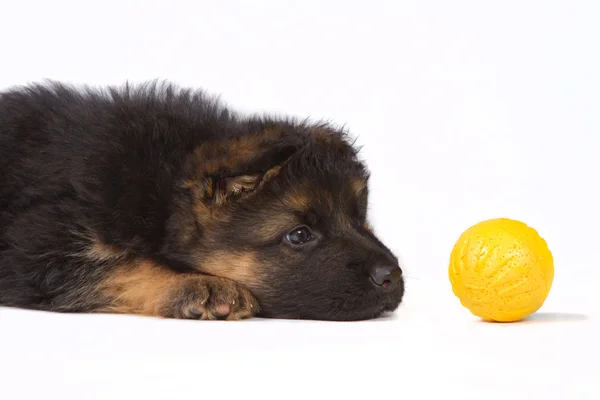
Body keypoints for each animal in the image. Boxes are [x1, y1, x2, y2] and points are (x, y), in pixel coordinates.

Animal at [0, 82, 406, 322]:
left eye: (359, 218)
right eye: (299, 235)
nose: (393, 276)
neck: (162, 187)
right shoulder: (34, 244)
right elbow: (120, 264)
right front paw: (200, 285)